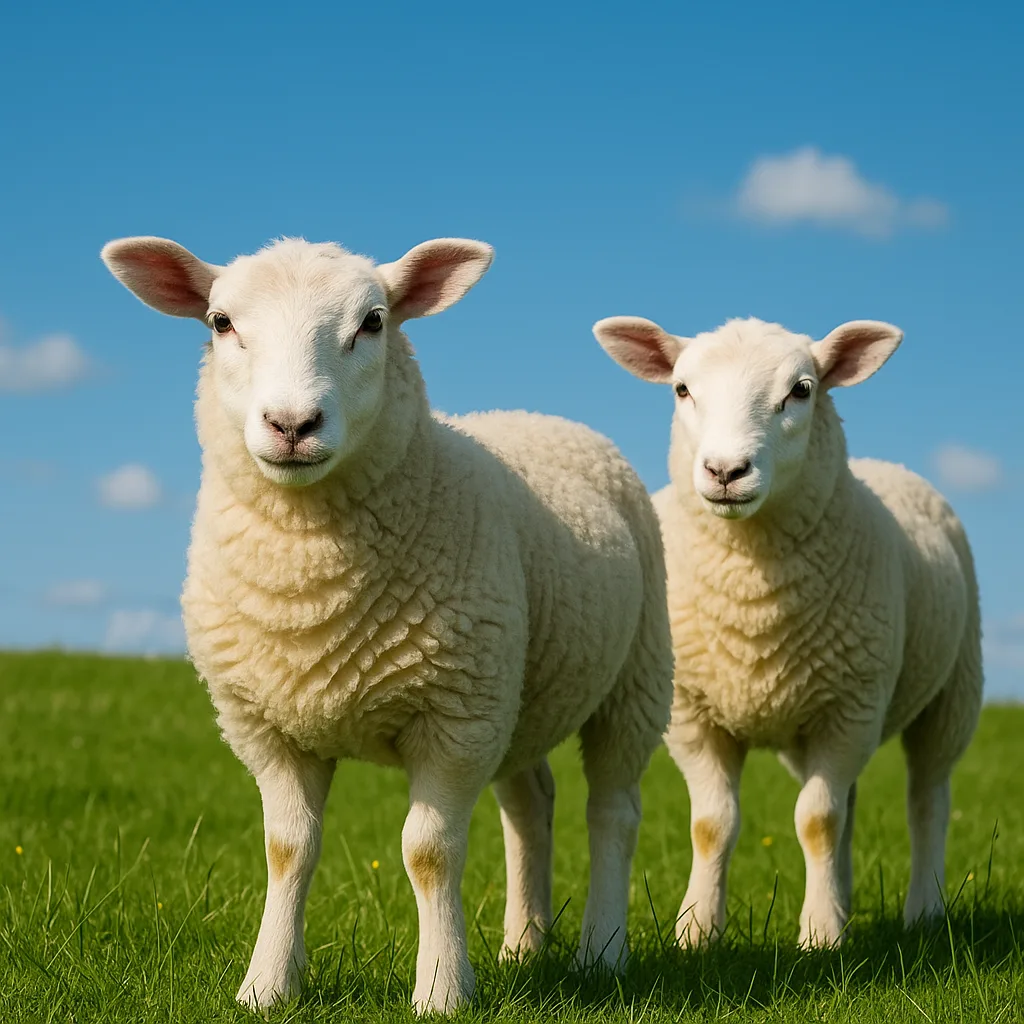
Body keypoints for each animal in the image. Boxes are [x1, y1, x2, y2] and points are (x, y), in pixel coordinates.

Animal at [100, 235, 673, 1014]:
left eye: (373, 322)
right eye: (221, 322)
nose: (291, 426)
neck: (312, 588)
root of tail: (537, 413)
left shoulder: (454, 718)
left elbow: (429, 852)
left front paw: (441, 990)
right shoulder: (266, 724)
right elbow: (287, 849)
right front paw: (267, 986)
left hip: (633, 678)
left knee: (613, 810)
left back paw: (602, 952)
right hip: (514, 694)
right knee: (531, 805)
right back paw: (524, 946)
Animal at [594, 314, 983, 949]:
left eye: (801, 390)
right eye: (681, 389)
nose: (726, 471)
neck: (753, 597)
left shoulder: (850, 707)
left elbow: (816, 821)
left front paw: (820, 936)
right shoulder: (693, 714)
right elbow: (713, 824)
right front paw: (697, 931)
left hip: (953, 692)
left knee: (928, 797)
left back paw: (923, 910)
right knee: (852, 802)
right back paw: (845, 897)